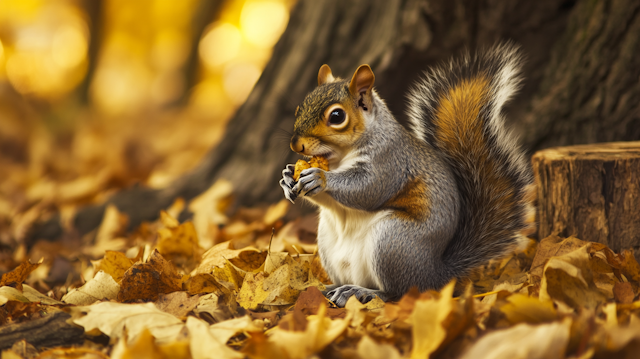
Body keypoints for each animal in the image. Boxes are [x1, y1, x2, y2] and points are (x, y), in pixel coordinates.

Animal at [280, 43, 536, 308]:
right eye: (300, 107)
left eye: (337, 116)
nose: (295, 144)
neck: (338, 158)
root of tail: (436, 275)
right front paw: (288, 178)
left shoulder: (390, 163)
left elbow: (367, 189)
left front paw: (320, 179)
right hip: (329, 241)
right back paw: (334, 288)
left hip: (392, 242)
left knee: (398, 292)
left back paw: (362, 293)